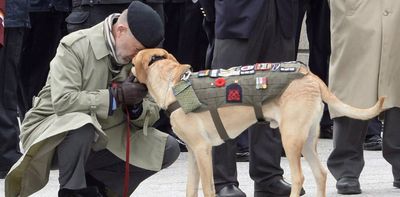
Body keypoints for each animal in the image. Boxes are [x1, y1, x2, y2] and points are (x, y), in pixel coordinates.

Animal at [132, 48, 384, 197]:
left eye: (133, 63)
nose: (126, 69)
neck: (172, 84)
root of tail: (310, 76)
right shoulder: (194, 152)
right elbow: (190, 189)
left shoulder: (203, 150)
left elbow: (207, 188)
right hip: (306, 140)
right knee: (320, 174)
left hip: (290, 138)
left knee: (300, 177)